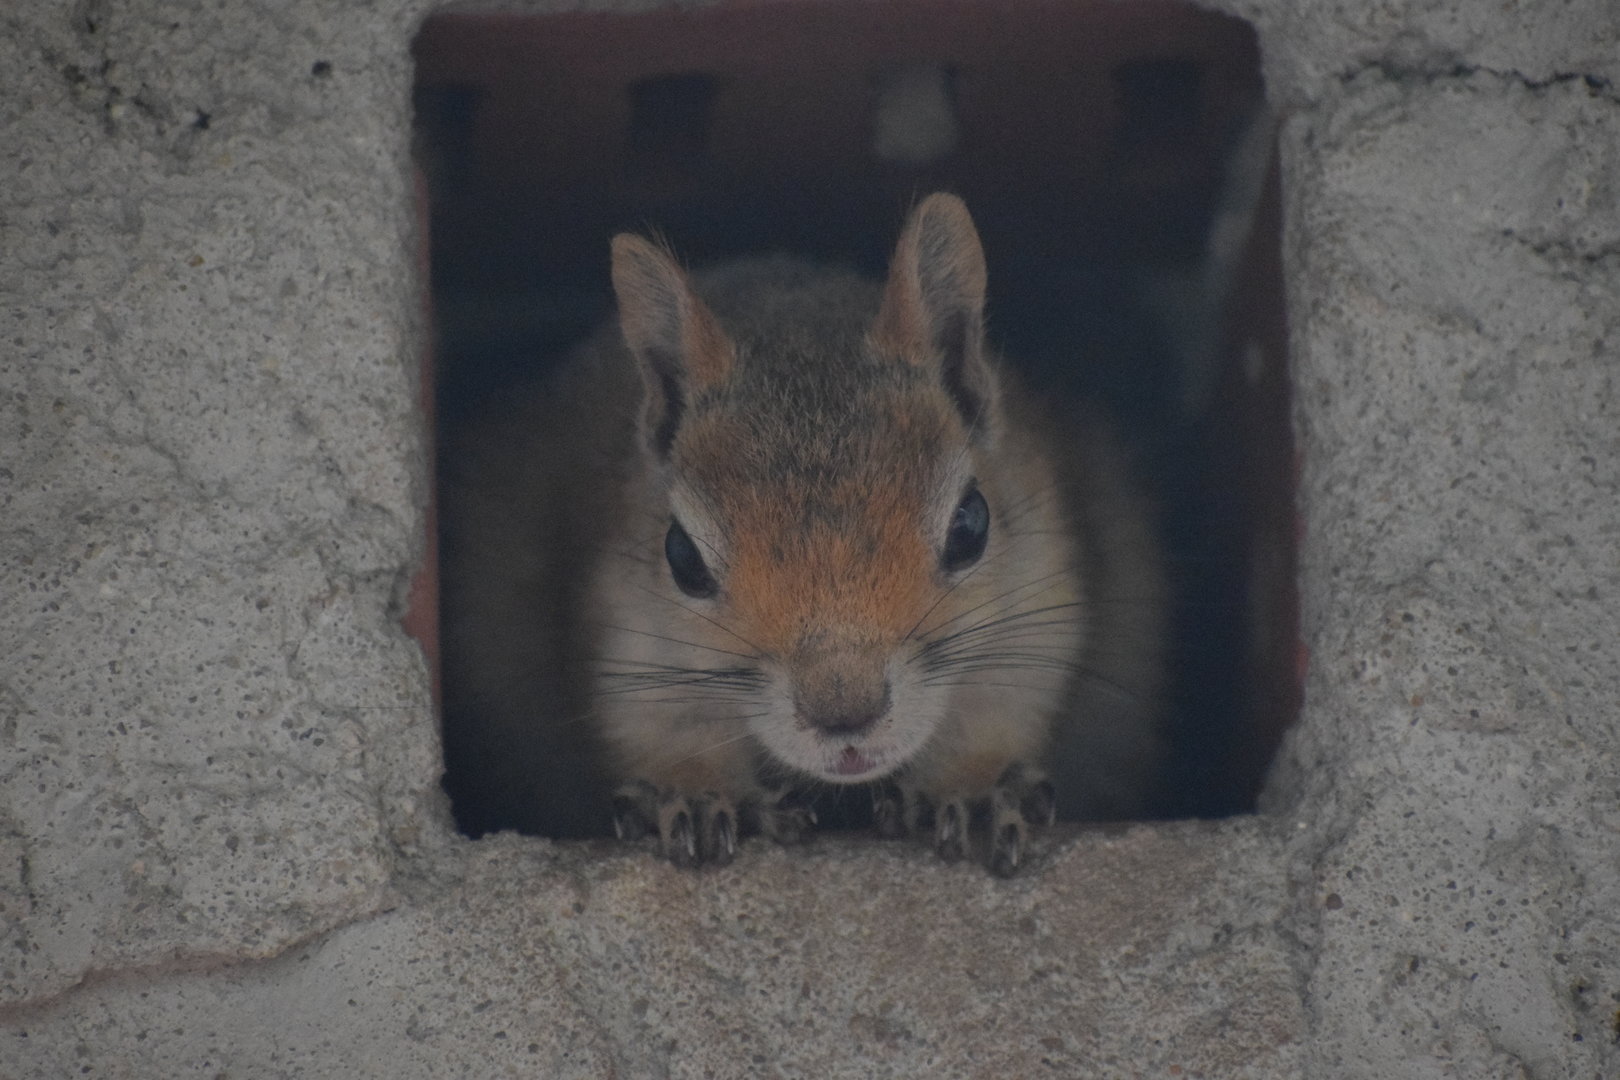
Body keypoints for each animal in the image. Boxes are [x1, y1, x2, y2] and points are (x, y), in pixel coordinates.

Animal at [439, 194, 1168, 876]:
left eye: (971, 524)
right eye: (681, 557)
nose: (844, 715)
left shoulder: (1036, 608)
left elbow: (1002, 701)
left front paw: (977, 787)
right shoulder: (632, 642)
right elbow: (659, 723)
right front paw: (696, 792)